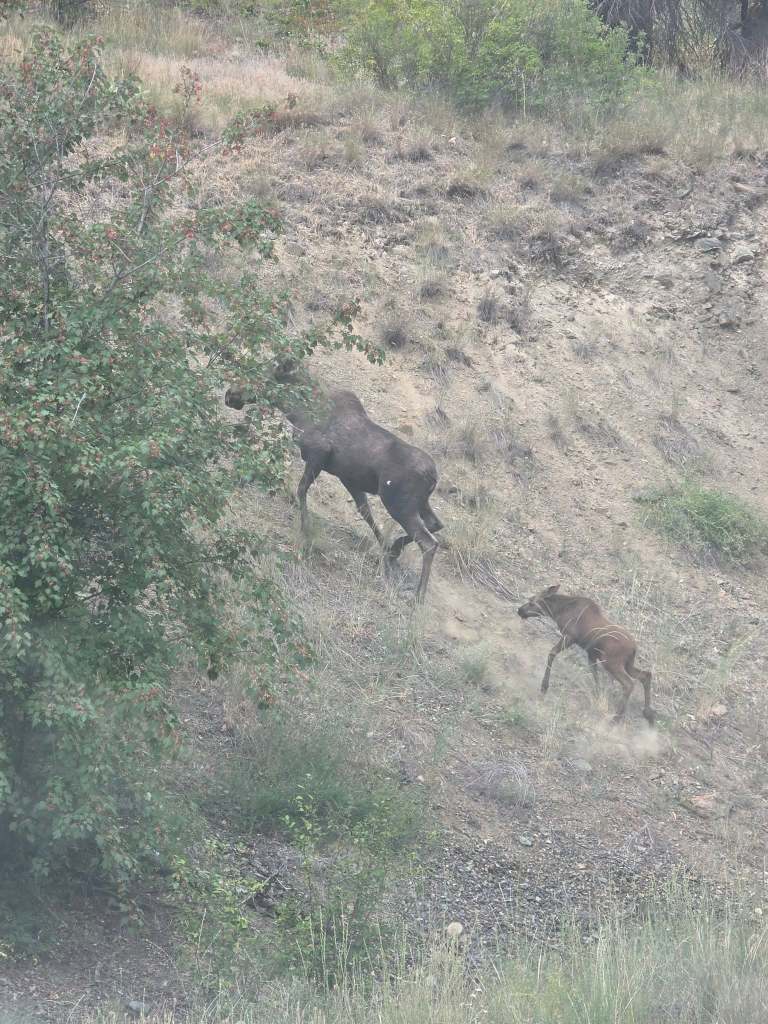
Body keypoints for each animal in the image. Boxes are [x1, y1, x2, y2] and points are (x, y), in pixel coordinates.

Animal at [224, 385, 443, 603]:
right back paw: (396, 549)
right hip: (418, 503)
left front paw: (306, 530)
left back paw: (418, 596)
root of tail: (433, 475)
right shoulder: (349, 479)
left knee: (429, 543)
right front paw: (386, 549)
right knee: (436, 524)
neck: (294, 409)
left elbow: (300, 489)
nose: (229, 395)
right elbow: (365, 512)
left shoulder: (318, 453)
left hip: (398, 503)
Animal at [517, 585, 655, 725]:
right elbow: (595, 674)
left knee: (629, 684)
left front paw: (544, 686)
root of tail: (634, 648)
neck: (558, 611)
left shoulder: (569, 637)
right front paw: (598, 695)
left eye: (532, 601)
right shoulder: (591, 653)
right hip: (628, 664)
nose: (520, 610)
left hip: (611, 662)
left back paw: (617, 717)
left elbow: (552, 653)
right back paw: (648, 713)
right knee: (646, 675)